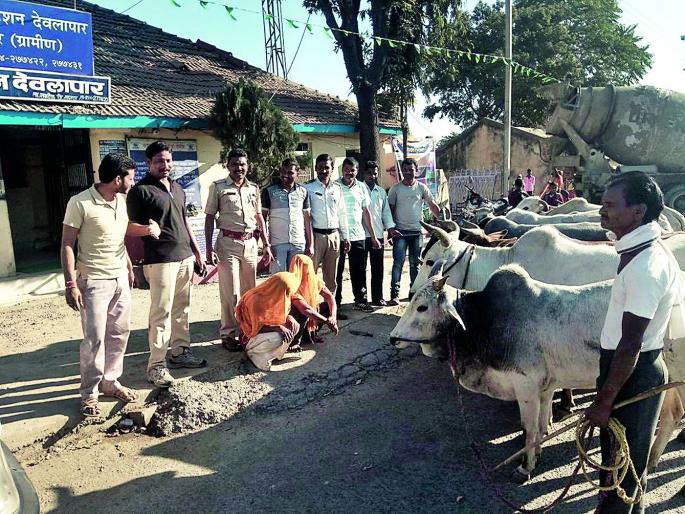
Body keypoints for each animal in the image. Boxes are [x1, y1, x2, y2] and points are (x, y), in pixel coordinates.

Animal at [390, 265, 685, 480]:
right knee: (673, 415)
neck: (484, 319)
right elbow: (543, 425)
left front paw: (525, 467)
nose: (393, 339)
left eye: (422, 307)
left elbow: (529, 428)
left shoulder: (526, 386)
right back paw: (652, 461)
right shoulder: (545, 387)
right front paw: (538, 455)